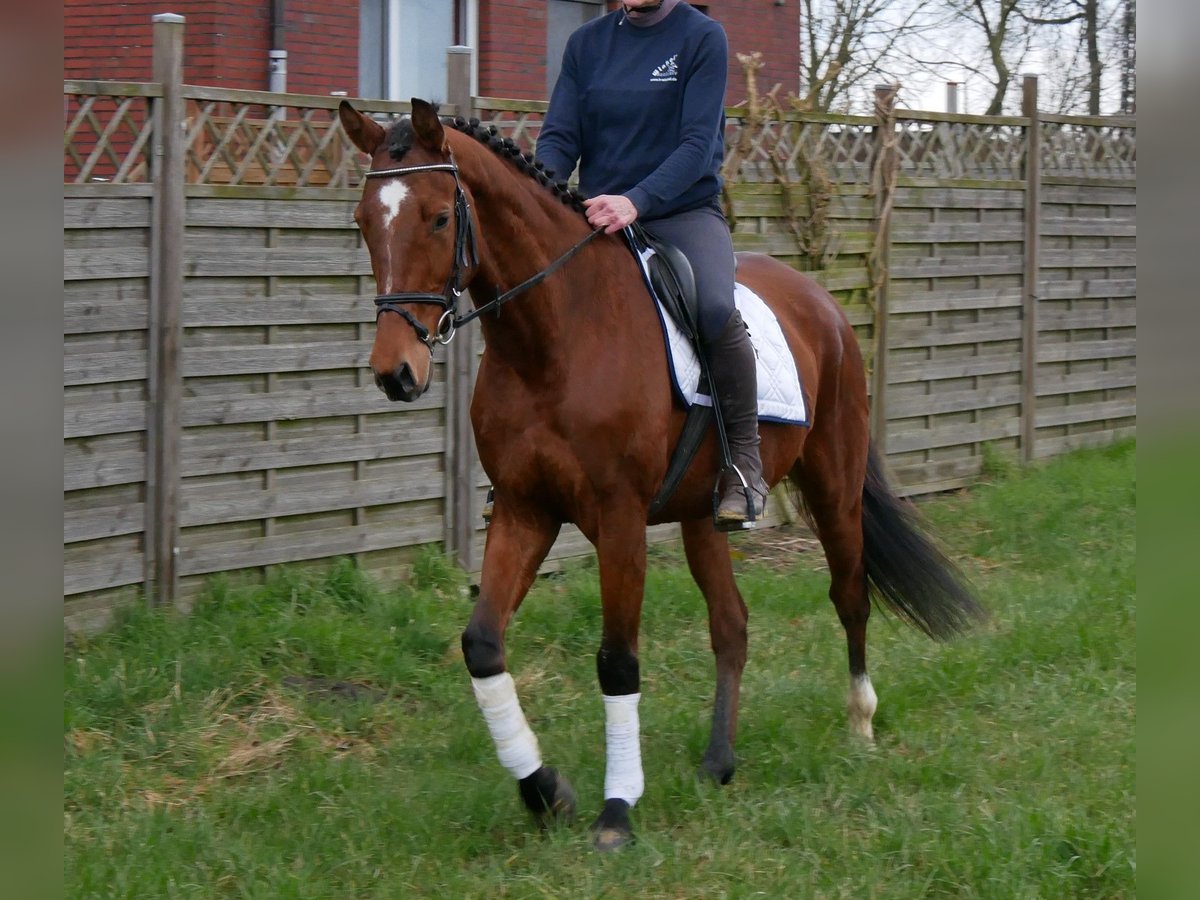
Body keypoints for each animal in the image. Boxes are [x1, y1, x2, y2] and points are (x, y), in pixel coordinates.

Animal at [338, 98, 984, 854]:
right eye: (364, 221)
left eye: (440, 217)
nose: (395, 373)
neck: (554, 339)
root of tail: (820, 302)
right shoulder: (527, 511)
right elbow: (482, 644)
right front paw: (545, 792)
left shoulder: (618, 519)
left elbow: (618, 660)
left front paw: (617, 810)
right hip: (704, 515)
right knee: (731, 623)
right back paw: (718, 762)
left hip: (834, 484)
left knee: (849, 594)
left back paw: (860, 722)